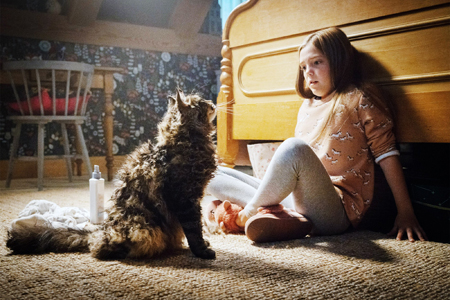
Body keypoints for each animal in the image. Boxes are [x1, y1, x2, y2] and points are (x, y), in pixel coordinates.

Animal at [7, 89, 218, 260]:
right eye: (201, 103)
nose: (212, 102)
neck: (186, 141)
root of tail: (103, 228)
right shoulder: (185, 199)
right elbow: (194, 230)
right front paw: (202, 252)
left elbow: (197, 228)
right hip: (142, 228)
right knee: (99, 248)